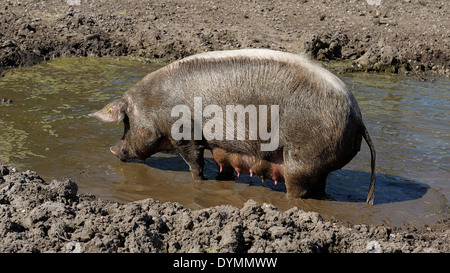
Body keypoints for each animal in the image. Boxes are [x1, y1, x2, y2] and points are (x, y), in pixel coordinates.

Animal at [90, 47, 376, 204]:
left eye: (127, 123)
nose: (113, 150)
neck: (153, 102)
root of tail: (359, 118)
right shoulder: (219, 145)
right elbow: (221, 163)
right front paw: (221, 179)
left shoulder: (185, 135)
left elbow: (195, 163)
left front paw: (200, 181)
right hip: (318, 165)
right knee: (321, 187)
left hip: (302, 159)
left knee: (297, 189)